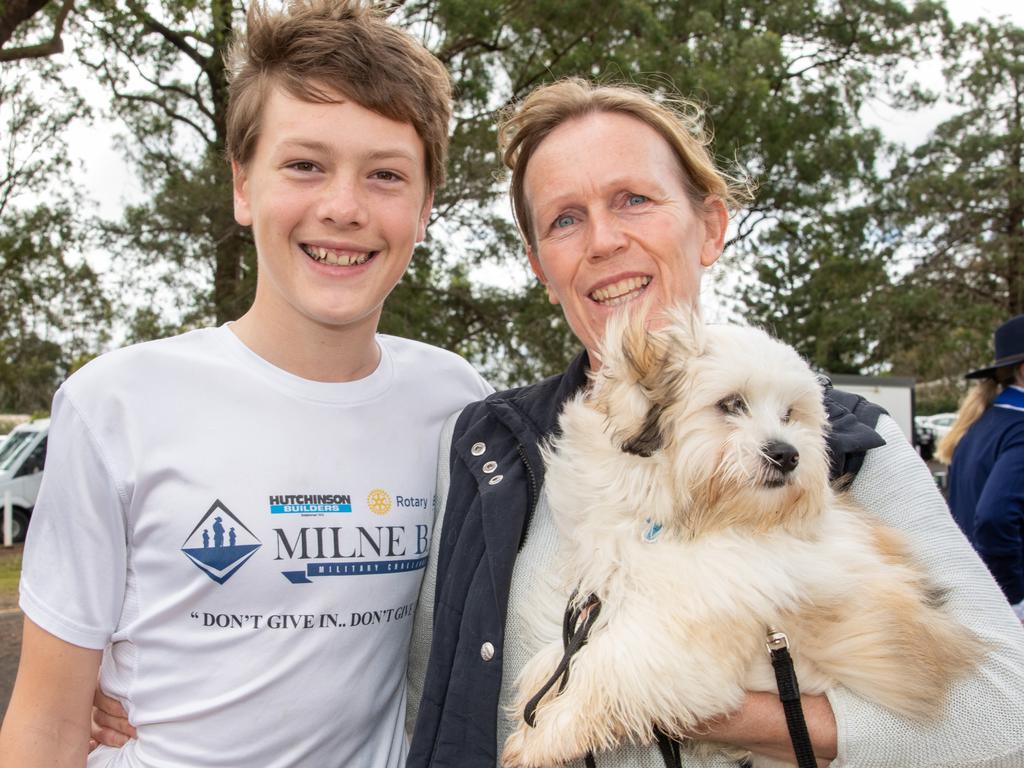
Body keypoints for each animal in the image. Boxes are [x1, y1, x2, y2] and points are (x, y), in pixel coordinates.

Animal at [503, 309, 983, 768]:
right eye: (731, 404)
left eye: (789, 414)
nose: (786, 454)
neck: (693, 517)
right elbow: (562, 655)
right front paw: (537, 703)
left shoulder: (696, 622)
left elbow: (614, 661)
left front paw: (548, 734)